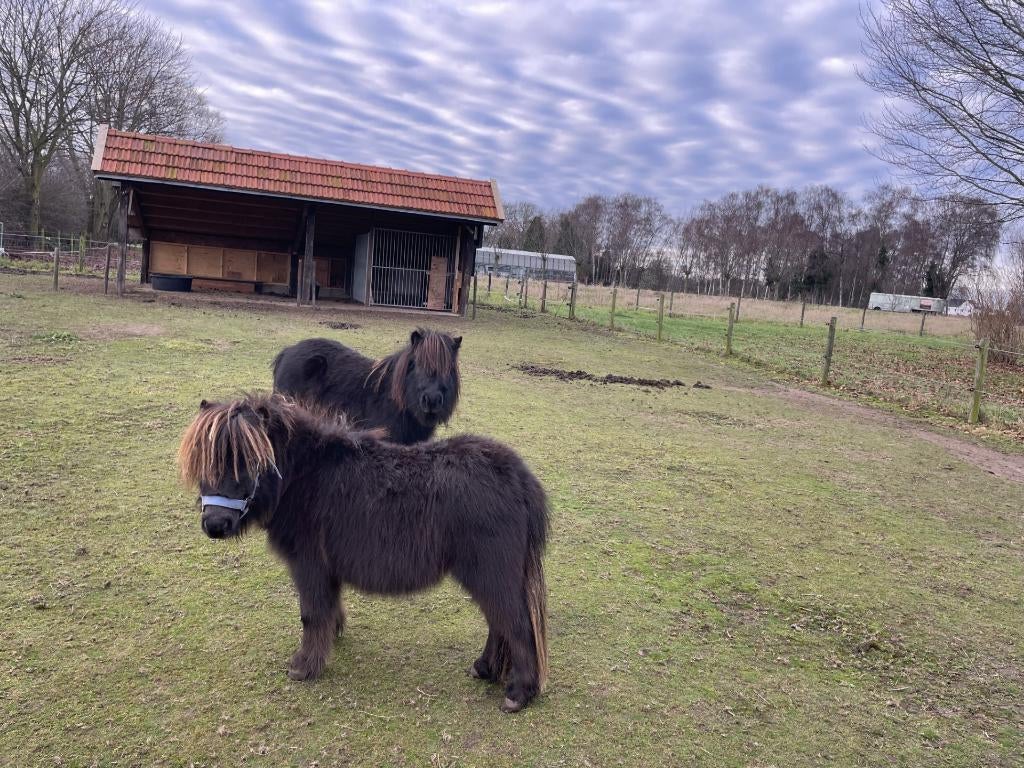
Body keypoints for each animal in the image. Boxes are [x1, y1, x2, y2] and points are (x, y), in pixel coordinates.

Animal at [177, 393, 549, 713]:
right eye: (204, 462)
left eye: (247, 462)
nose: (215, 525)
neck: (302, 476)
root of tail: (520, 478)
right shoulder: (325, 570)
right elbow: (328, 608)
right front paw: (333, 636)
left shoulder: (308, 565)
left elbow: (310, 614)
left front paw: (304, 666)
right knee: (498, 622)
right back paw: (485, 669)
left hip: (490, 572)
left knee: (515, 624)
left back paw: (518, 693)